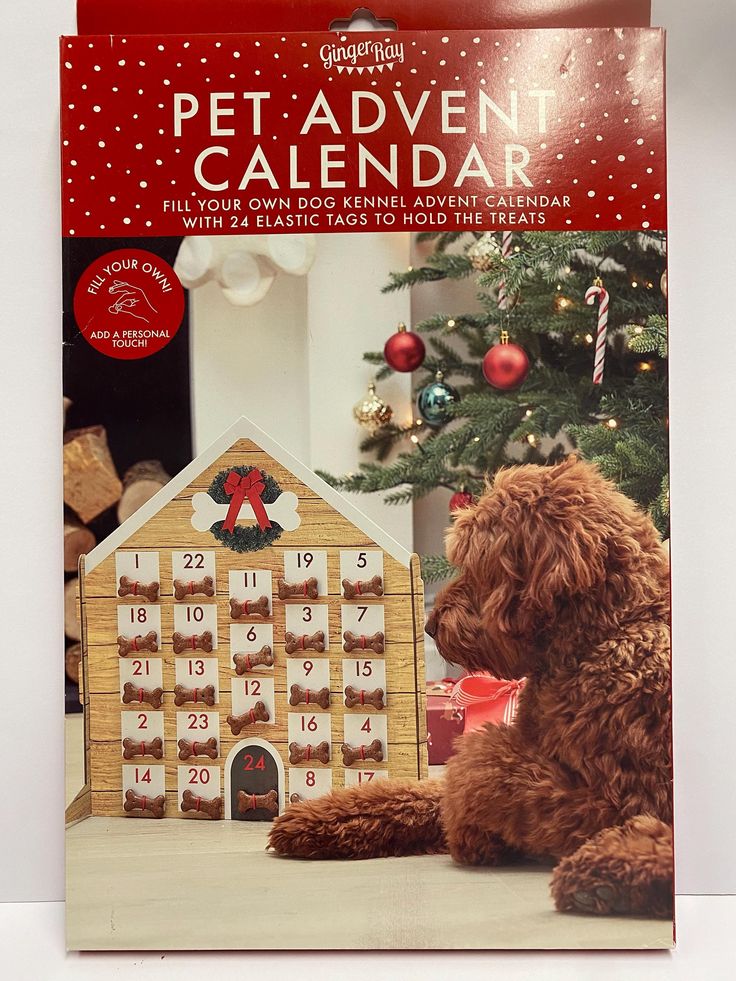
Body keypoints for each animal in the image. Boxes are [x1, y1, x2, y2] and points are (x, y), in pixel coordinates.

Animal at [270, 460, 672, 920]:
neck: (608, 631)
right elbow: (421, 792)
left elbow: (476, 772)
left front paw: (473, 836)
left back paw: (603, 874)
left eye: (479, 562)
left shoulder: (621, 797)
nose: (431, 625)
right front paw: (320, 816)